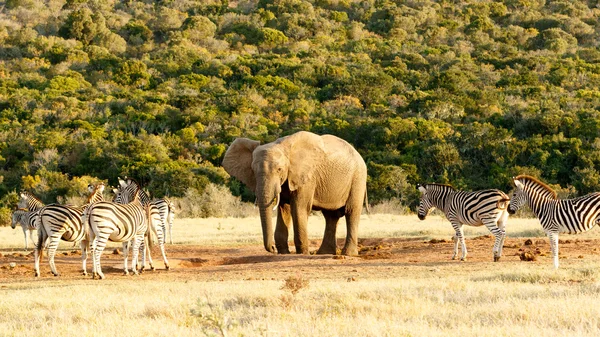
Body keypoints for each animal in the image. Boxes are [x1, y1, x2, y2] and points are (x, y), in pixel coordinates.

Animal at [223, 131, 368, 255]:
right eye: (253, 170)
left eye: (279, 169)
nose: (273, 248)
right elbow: (284, 209)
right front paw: (284, 253)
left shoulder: (307, 177)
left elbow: (299, 208)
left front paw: (303, 253)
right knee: (331, 216)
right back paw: (324, 253)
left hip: (358, 178)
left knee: (351, 211)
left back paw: (348, 254)